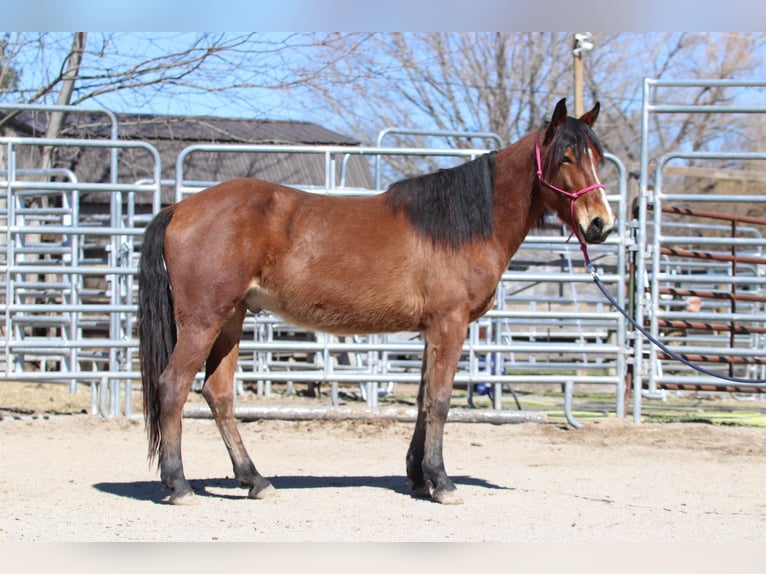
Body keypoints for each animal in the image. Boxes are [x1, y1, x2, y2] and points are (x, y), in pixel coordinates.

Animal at [140, 100, 616, 508]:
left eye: (597, 156)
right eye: (565, 157)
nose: (601, 224)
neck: (459, 227)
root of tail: (180, 207)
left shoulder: (431, 331)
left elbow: (423, 400)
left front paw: (419, 478)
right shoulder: (450, 325)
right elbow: (440, 401)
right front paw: (443, 483)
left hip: (230, 321)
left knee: (217, 395)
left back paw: (254, 480)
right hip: (204, 321)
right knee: (173, 387)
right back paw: (179, 485)